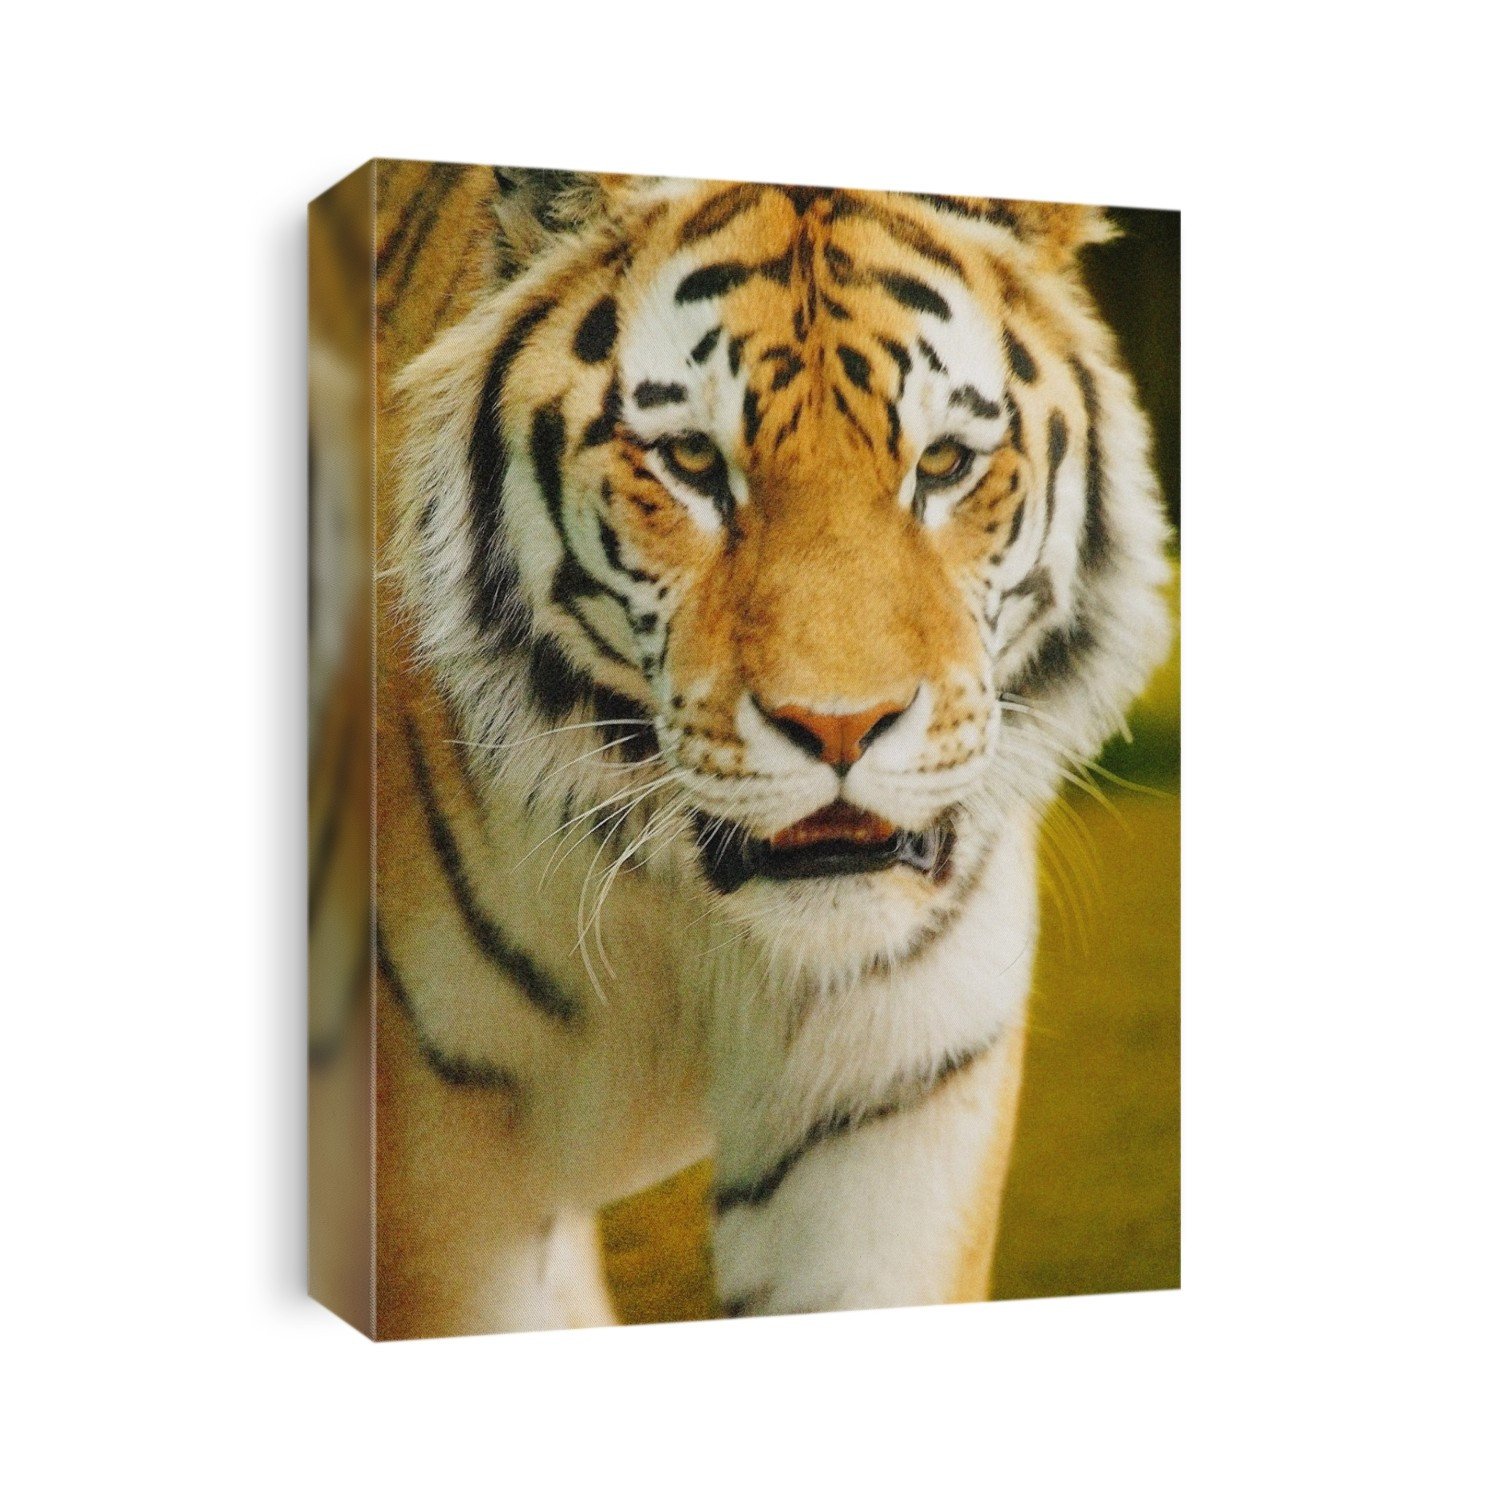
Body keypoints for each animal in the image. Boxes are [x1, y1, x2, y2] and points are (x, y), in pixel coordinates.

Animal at [309, 162, 1173, 1338]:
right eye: (690, 462)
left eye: (943, 463)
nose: (842, 726)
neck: (697, 917)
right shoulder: (439, 1175)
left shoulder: (895, 1106)